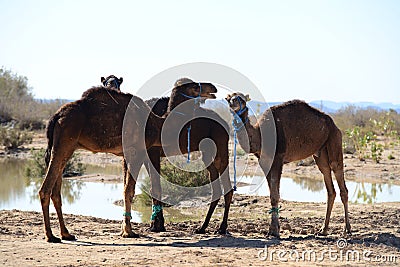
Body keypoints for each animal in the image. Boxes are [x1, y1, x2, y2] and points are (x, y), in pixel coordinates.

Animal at [227, 93, 352, 239]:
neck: (260, 135)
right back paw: (323, 230)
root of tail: (334, 125)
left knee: (340, 178)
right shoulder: (264, 160)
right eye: (229, 98)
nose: (234, 102)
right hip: (320, 154)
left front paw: (274, 231)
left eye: (242, 98)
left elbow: (275, 195)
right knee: (329, 184)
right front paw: (273, 229)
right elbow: (272, 193)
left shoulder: (278, 158)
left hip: (334, 140)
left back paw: (346, 230)